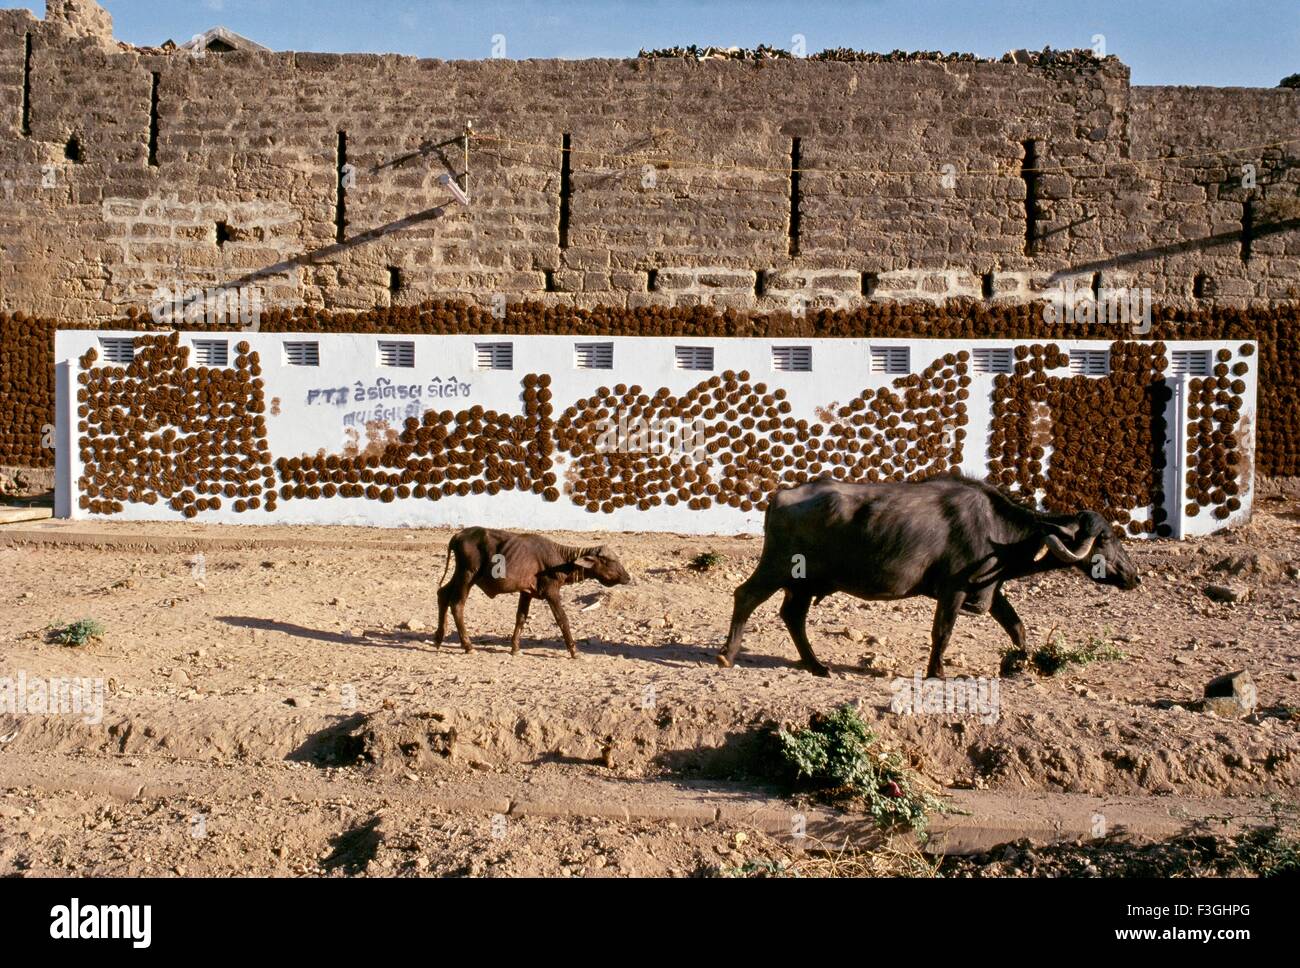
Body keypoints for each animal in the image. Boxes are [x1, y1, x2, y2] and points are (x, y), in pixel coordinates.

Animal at [434, 527, 632, 657]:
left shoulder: (526, 592)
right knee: (457, 604)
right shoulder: (551, 592)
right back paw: (468, 646)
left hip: (460, 575)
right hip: (467, 575)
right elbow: (562, 619)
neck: (560, 559)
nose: (627, 577)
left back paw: (438, 638)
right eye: (609, 561)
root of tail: (458, 535)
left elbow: (521, 618)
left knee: (442, 594)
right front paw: (574, 651)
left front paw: (515, 648)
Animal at [718, 475, 1141, 678]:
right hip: (777, 567)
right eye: (1105, 539)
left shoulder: (990, 589)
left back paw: (817, 666)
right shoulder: (953, 590)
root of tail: (780, 496)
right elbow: (943, 633)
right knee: (745, 596)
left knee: (793, 616)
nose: (1134, 576)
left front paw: (1022, 663)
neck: (996, 530)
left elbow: (1017, 627)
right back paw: (727, 655)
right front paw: (937, 671)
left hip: (804, 584)